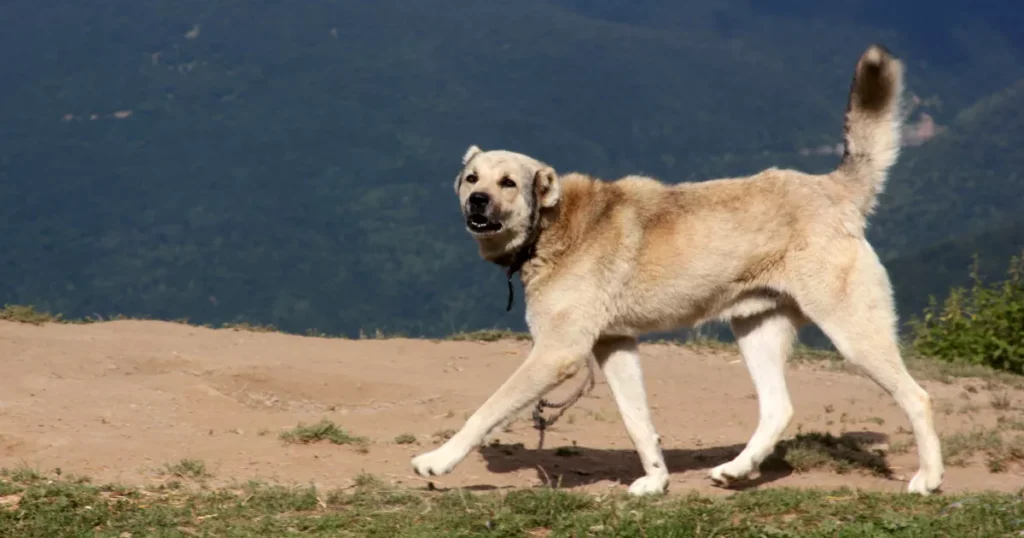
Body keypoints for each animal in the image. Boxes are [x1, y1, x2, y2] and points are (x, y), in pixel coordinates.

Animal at [409, 44, 942, 493]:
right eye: (472, 179)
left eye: (508, 184)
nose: (477, 201)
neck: (552, 227)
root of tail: (832, 188)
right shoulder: (614, 346)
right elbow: (639, 423)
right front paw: (656, 482)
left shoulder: (557, 353)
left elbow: (488, 409)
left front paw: (439, 460)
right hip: (756, 331)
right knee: (778, 409)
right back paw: (736, 470)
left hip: (853, 333)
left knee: (918, 396)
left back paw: (929, 479)